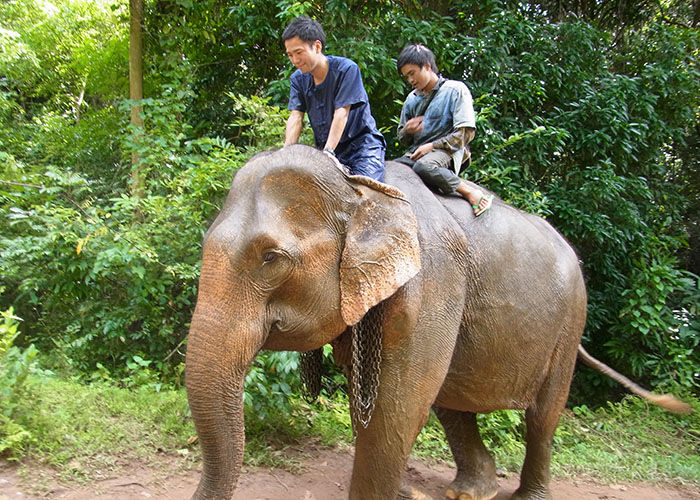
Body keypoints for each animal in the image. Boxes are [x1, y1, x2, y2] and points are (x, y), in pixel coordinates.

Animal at [186, 142, 688, 500]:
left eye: (271, 258)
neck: (358, 187)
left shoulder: (433, 279)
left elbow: (399, 401)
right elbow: (376, 397)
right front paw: (404, 492)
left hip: (569, 323)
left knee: (543, 414)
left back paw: (523, 496)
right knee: (450, 396)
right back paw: (471, 492)